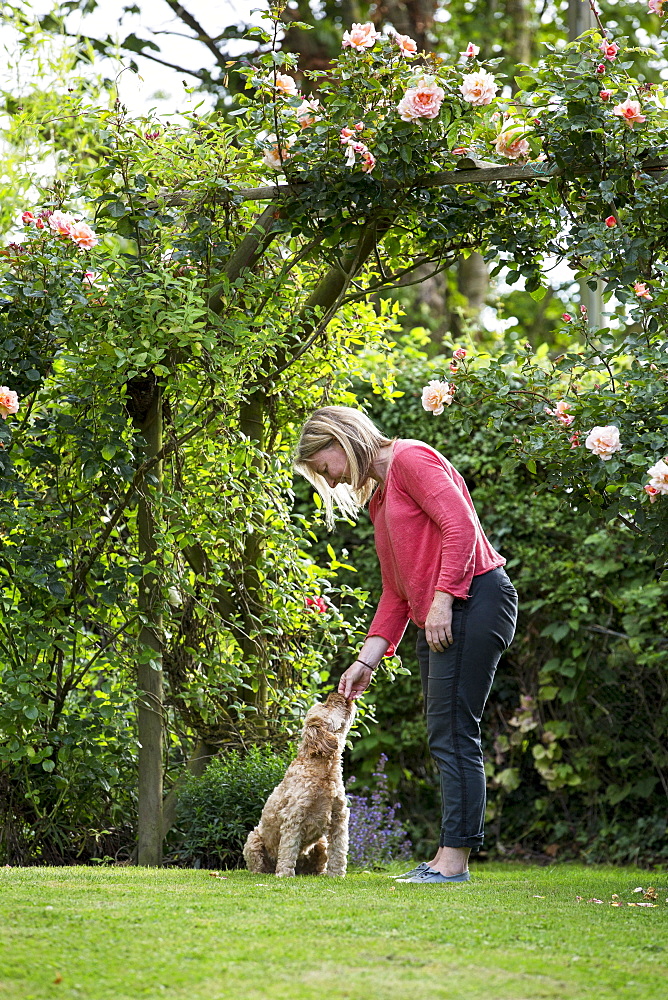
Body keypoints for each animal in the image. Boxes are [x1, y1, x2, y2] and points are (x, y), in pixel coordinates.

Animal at [244, 696, 358, 876]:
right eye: (326, 705)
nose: (337, 694)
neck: (324, 771)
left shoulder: (339, 818)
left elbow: (339, 851)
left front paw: (337, 875)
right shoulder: (294, 817)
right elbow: (289, 849)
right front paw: (284, 875)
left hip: (321, 843)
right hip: (253, 840)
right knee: (258, 866)